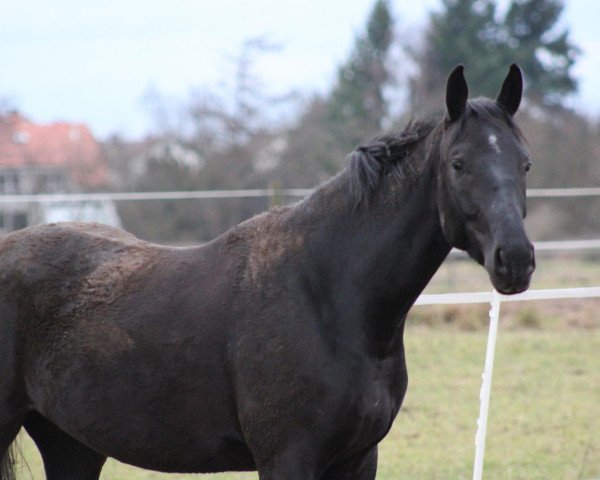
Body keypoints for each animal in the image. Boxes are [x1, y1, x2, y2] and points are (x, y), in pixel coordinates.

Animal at [0, 64, 536, 480]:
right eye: (458, 163)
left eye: (525, 164)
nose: (516, 259)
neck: (329, 295)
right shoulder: (288, 459)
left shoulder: (358, 460)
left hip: (72, 444)